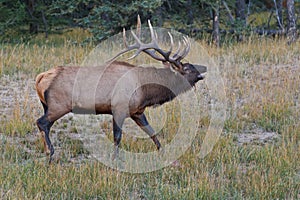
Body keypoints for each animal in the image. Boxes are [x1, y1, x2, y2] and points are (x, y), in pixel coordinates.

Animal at [35, 16, 207, 162]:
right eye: (187, 68)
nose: (203, 70)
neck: (146, 92)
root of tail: (40, 78)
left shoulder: (137, 111)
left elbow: (151, 132)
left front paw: (164, 153)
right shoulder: (119, 107)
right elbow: (117, 137)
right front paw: (115, 160)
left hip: (47, 106)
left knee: (45, 126)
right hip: (59, 105)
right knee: (41, 123)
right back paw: (50, 154)